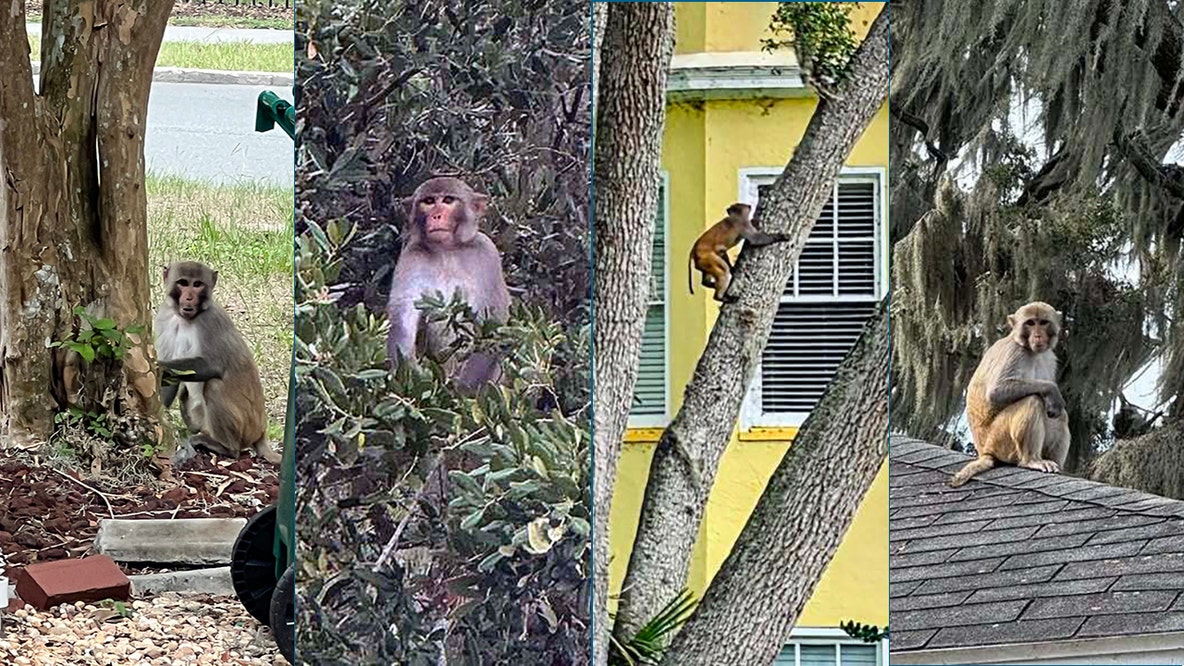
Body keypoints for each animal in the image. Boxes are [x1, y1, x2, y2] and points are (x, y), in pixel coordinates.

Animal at [154, 261, 280, 464]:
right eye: (183, 283)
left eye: (197, 285)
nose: (189, 297)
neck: (185, 319)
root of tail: (261, 431)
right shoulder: (164, 318)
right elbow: (170, 382)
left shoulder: (211, 321)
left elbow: (212, 365)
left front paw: (158, 365)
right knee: (185, 393)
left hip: (246, 427)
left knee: (213, 386)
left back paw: (227, 448)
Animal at [386, 176, 511, 390]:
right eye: (428, 201)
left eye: (448, 200)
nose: (436, 215)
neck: (447, 250)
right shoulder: (412, 257)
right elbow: (402, 320)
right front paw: (411, 375)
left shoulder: (487, 254)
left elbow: (490, 325)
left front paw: (464, 391)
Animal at [948, 301, 1070, 487]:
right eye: (1030, 323)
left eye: (1043, 322)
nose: (1038, 336)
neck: (1030, 350)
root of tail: (984, 452)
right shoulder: (1015, 352)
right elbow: (996, 391)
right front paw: (1052, 390)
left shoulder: (1050, 358)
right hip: (999, 441)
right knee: (1032, 400)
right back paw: (1032, 460)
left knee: (1060, 416)